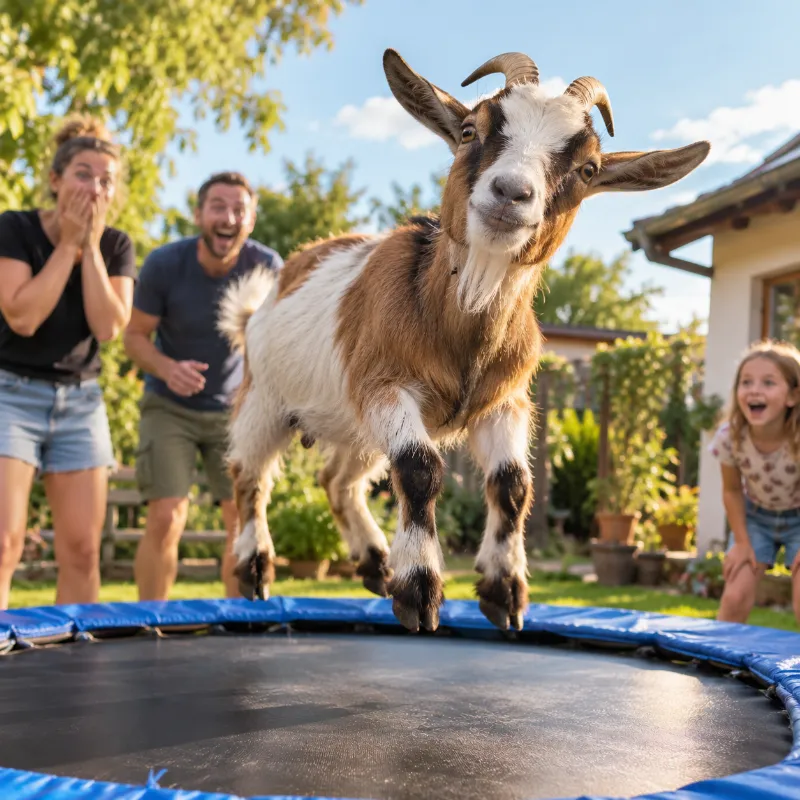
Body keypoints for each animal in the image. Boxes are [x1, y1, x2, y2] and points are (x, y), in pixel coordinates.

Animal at [218, 49, 709, 633]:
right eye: (472, 129)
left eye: (588, 169)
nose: (511, 193)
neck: (459, 325)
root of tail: (266, 296)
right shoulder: (385, 385)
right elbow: (420, 469)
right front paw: (419, 590)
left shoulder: (505, 403)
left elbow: (513, 483)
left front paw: (505, 589)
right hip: (266, 399)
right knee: (250, 477)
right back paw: (256, 568)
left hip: (351, 425)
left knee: (337, 481)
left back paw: (373, 562)